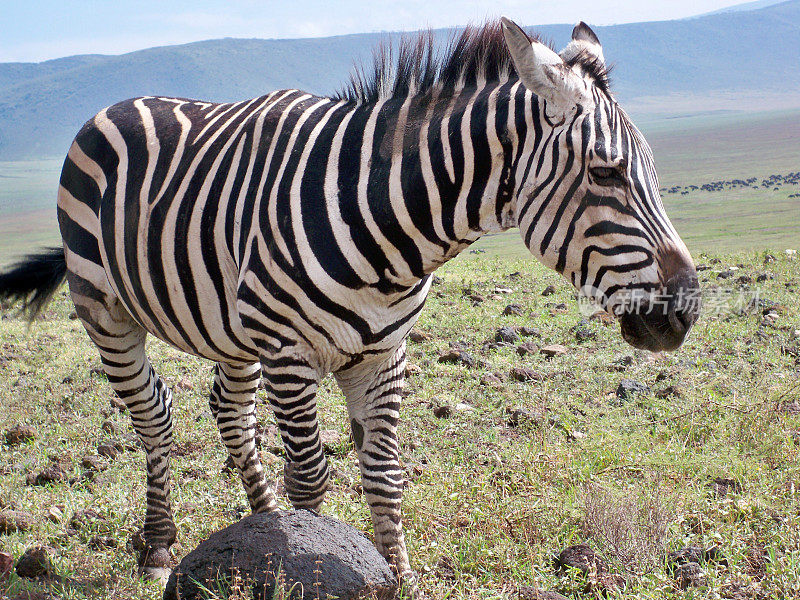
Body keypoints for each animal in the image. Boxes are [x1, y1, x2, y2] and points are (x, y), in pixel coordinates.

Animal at [0, 16, 700, 592]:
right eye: (606, 173)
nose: (685, 311)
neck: (388, 226)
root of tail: (121, 101)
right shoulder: (289, 354)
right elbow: (311, 479)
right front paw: (302, 559)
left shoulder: (383, 353)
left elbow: (385, 476)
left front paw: (397, 577)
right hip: (107, 311)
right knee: (155, 417)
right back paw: (159, 548)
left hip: (232, 327)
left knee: (229, 410)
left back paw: (259, 526)